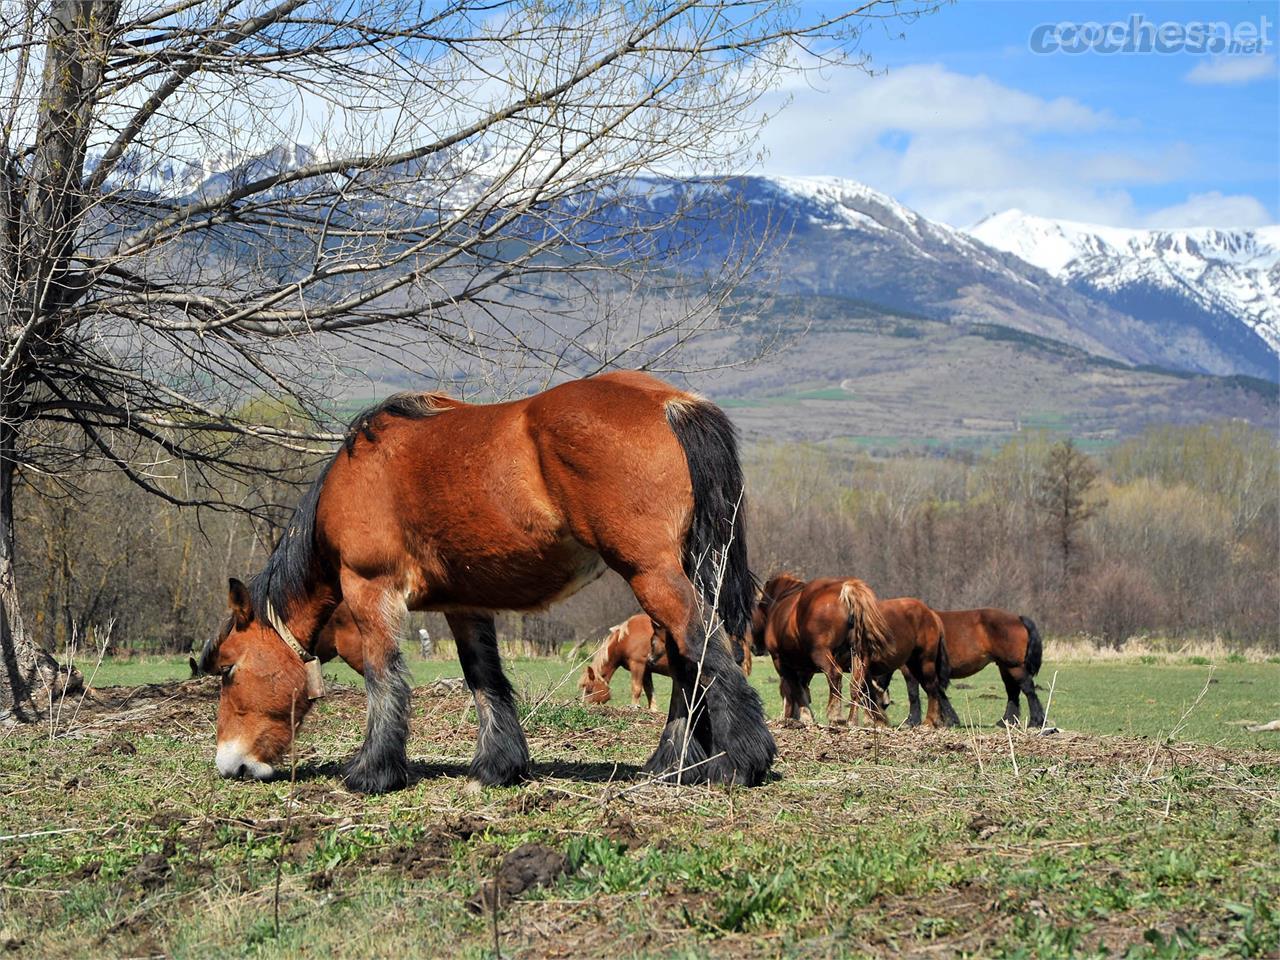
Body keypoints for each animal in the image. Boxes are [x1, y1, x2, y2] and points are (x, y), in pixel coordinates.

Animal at [198, 371, 773, 793]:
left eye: (227, 671)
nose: (231, 764)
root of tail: (670, 402)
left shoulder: (369, 589)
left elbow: (384, 679)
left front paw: (371, 772)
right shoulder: (465, 604)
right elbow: (485, 680)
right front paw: (499, 766)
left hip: (651, 574)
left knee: (703, 648)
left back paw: (739, 761)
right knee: (686, 660)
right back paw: (674, 764)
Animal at [747, 576, 890, 727]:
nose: (753, 647)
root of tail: (846, 588)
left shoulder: (781, 661)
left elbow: (795, 688)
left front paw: (805, 716)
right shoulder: (805, 667)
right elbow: (802, 688)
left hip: (821, 654)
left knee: (834, 674)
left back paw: (835, 715)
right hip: (860, 656)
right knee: (857, 684)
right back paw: (852, 720)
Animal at [875, 609, 1044, 727]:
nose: (882, 706)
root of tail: (1017, 618)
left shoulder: (911, 670)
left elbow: (915, 693)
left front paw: (912, 721)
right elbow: (935, 691)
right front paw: (949, 719)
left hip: (1014, 667)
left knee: (1029, 691)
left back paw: (1036, 721)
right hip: (1005, 667)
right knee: (1013, 693)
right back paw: (1006, 721)